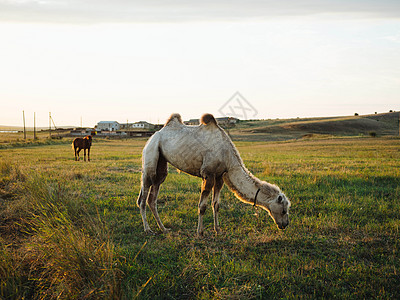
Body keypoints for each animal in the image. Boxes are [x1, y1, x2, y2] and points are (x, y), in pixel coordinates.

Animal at [138, 113, 290, 236]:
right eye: (283, 210)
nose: (285, 224)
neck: (228, 158)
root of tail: (154, 134)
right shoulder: (208, 174)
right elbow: (202, 206)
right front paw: (200, 232)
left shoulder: (219, 176)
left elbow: (216, 204)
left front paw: (218, 230)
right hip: (151, 155)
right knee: (143, 197)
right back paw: (148, 229)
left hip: (161, 165)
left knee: (153, 196)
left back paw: (163, 229)